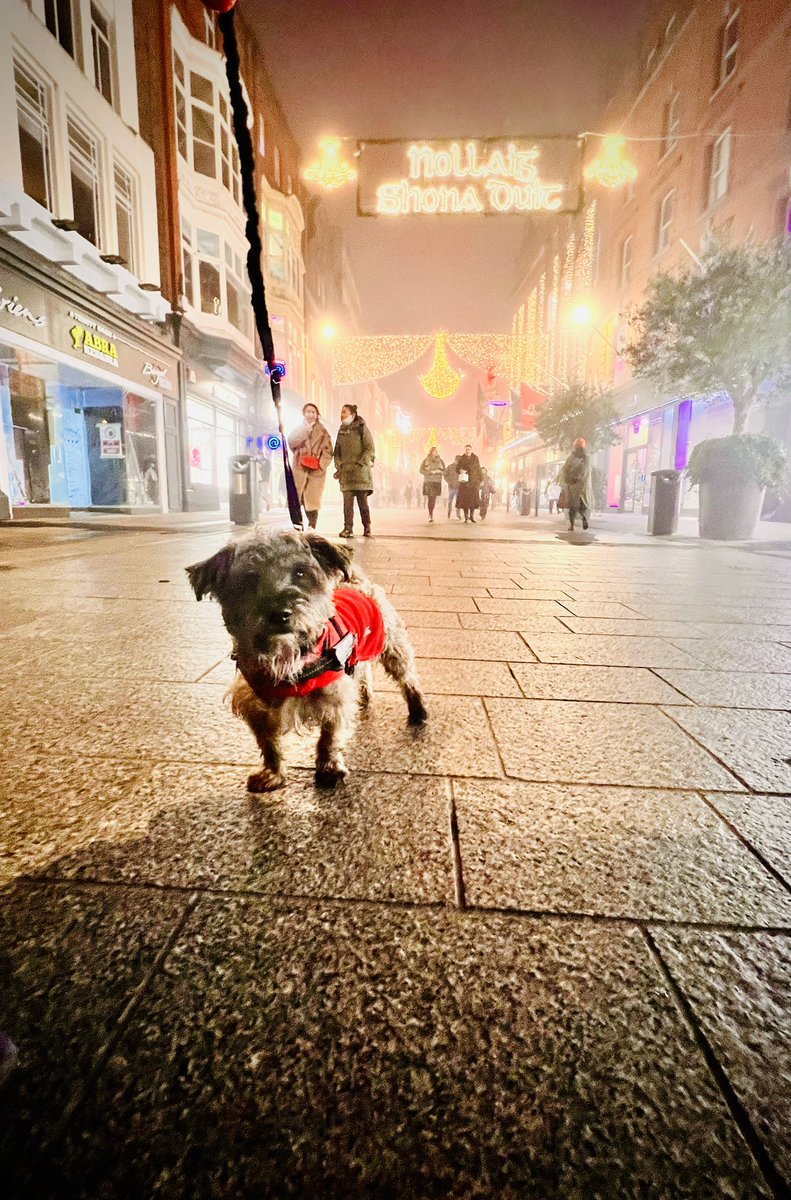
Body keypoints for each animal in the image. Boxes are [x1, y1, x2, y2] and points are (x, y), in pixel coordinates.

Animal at [187, 530, 427, 792]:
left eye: (301, 573)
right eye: (248, 579)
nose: (280, 614)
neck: (287, 658)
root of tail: (351, 579)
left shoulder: (334, 696)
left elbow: (329, 737)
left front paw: (329, 768)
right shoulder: (256, 705)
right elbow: (268, 743)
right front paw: (273, 773)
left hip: (391, 644)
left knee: (407, 677)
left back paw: (418, 710)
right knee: (362, 671)